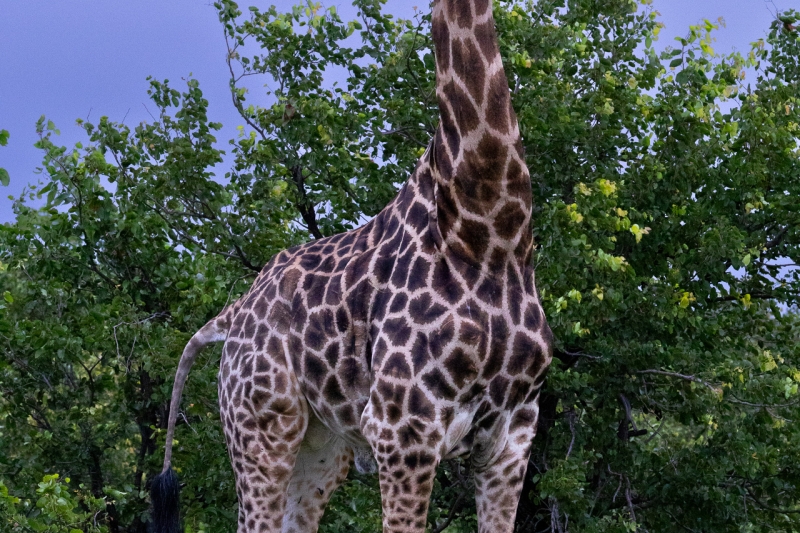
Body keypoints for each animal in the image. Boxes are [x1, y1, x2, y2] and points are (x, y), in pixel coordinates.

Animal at [151, 0, 553, 531]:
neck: (490, 233)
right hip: (259, 425)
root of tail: (233, 313)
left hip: (321, 445)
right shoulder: (402, 427)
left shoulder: (513, 439)